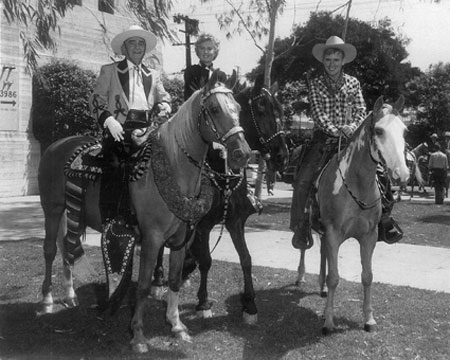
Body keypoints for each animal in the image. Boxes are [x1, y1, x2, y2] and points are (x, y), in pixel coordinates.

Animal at [37, 71, 251, 352]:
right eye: (215, 109)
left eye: (238, 108)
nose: (242, 154)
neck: (172, 167)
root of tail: (57, 145)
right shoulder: (152, 239)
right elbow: (143, 286)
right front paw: (138, 335)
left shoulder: (182, 240)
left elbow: (174, 280)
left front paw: (177, 325)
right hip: (52, 210)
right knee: (50, 250)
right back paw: (47, 300)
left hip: (71, 214)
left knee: (67, 247)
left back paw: (71, 295)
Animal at [151, 79, 290, 324]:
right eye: (261, 110)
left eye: (281, 112)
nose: (282, 155)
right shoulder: (203, 226)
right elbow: (206, 261)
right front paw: (203, 303)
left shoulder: (235, 222)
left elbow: (246, 259)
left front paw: (249, 304)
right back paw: (158, 280)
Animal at [294, 97, 410, 334]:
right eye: (379, 130)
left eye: (404, 131)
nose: (402, 173)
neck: (356, 183)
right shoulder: (334, 234)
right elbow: (334, 277)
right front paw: (328, 322)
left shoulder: (369, 236)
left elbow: (367, 276)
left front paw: (369, 319)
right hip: (308, 222)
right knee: (303, 247)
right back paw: (301, 277)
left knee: (323, 253)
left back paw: (321, 288)